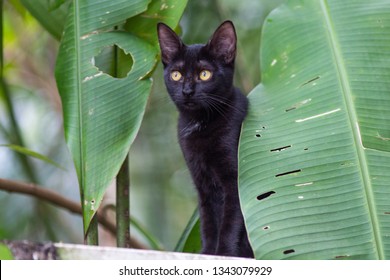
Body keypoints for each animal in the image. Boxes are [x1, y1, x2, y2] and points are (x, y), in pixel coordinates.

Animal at [157, 20, 254, 258]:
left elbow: (229, 223)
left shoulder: (234, 181)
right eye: (176, 75)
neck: (200, 123)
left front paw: (224, 254)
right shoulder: (201, 182)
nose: (187, 91)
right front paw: (208, 252)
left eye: (204, 74)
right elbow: (209, 223)